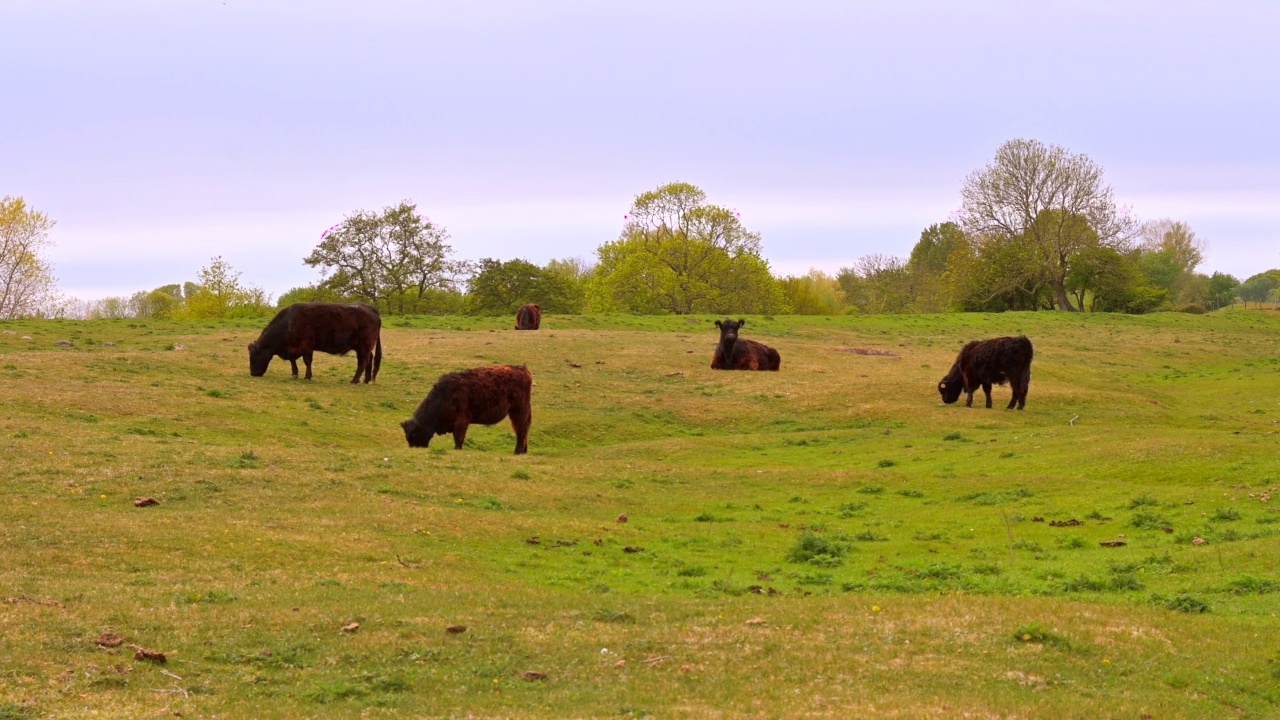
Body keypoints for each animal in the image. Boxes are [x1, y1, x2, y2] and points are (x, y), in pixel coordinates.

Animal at [247, 301, 381, 384]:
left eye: (253, 357)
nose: (253, 373)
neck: (289, 322)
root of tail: (369, 308)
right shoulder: (294, 347)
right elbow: (293, 360)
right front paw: (295, 374)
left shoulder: (306, 346)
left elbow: (307, 361)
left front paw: (308, 376)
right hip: (364, 348)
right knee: (369, 359)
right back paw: (366, 380)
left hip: (364, 346)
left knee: (363, 362)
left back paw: (354, 380)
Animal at [404, 363, 535, 453]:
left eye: (413, 435)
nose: (414, 448)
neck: (445, 395)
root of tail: (522, 369)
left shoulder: (461, 422)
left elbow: (458, 439)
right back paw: (523, 451)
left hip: (518, 411)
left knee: (521, 429)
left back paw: (517, 452)